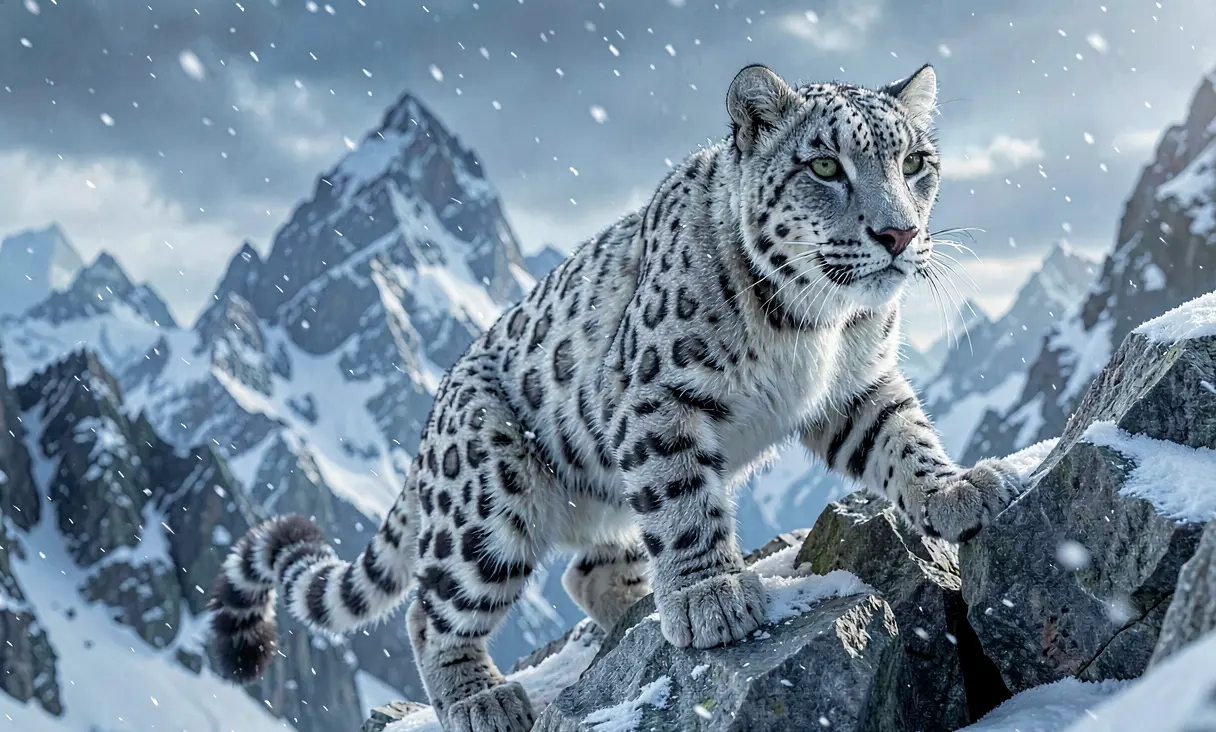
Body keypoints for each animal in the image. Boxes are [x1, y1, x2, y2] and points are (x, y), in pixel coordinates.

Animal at [208, 63, 1024, 732]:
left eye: (915, 163)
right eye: (825, 165)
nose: (899, 234)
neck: (814, 328)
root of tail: (430, 424)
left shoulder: (857, 385)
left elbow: (903, 436)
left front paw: (957, 489)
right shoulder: (661, 398)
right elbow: (685, 501)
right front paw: (710, 598)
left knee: (586, 569)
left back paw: (628, 609)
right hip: (487, 499)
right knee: (429, 611)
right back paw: (483, 699)